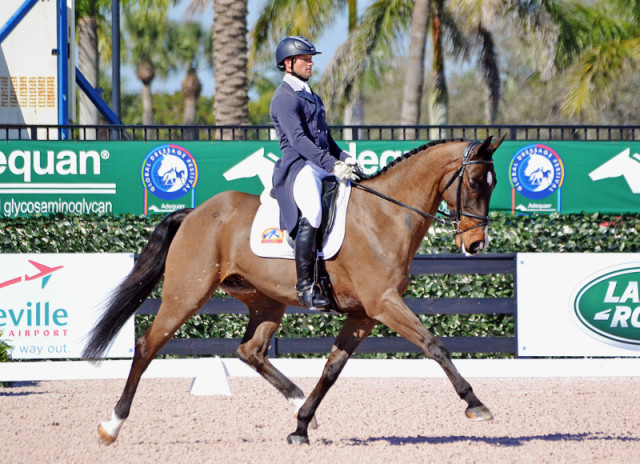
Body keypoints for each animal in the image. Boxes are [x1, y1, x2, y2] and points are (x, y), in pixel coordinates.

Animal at [84, 135, 504, 446]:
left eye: (493, 185)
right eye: (473, 182)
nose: (476, 245)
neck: (384, 217)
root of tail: (195, 213)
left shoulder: (363, 314)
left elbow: (333, 368)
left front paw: (301, 425)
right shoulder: (383, 303)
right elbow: (435, 345)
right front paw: (476, 404)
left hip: (265, 300)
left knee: (250, 351)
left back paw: (298, 402)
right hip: (186, 294)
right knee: (147, 346)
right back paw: (111, 426)